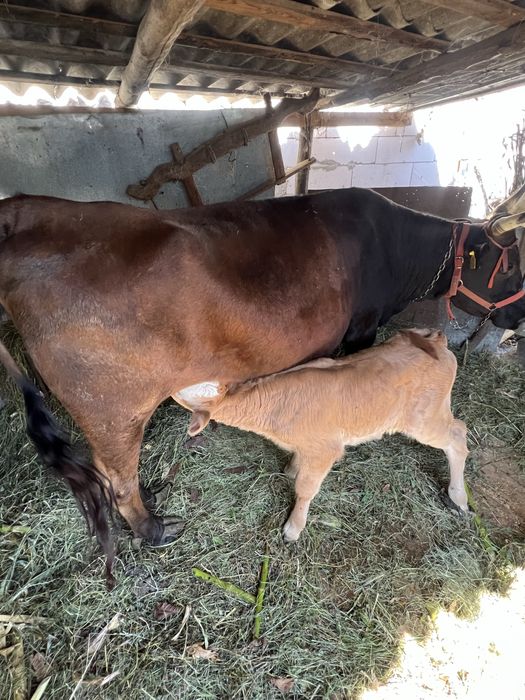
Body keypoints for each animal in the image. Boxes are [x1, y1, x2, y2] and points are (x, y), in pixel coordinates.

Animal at [177, 329, 468, 543]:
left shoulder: (324, 450)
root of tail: (436, 340)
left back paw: (459, 497)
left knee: (458, 434)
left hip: (424, 420)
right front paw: (291, 469)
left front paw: (293, 529)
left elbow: (305, 488)